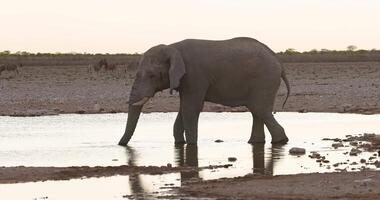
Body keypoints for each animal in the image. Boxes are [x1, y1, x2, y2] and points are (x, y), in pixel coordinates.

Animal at [119, 37, 290, 145]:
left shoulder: (195, 76)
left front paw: (191, 145)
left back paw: (281, 141)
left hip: (265, 80)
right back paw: (256, 142)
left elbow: (190, 109)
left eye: (152, 75)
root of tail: (279, 63)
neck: (172, 47)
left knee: (260, 109)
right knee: (257, 111)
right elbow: (183, 109)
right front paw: (180, 143)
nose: (120, 145)